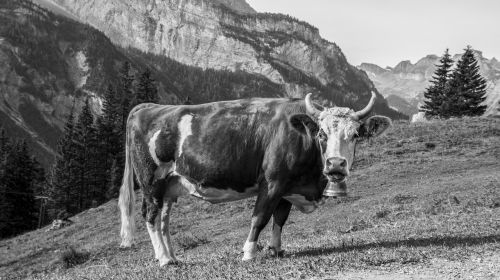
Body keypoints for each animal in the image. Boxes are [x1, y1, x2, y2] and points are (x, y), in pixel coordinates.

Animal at [117, 91, 390, 264]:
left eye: (355, 134)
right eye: (322, 133)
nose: (335, 164)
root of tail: (149, 106)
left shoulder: (287, 188)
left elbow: (280, 219)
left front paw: (276, 249)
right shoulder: (272, 182)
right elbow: (260, 217)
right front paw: (249, 253)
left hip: (170, 185)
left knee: (163, 219)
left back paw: (172, 257)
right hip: (151, 181)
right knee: (150, 215)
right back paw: (164, 260)